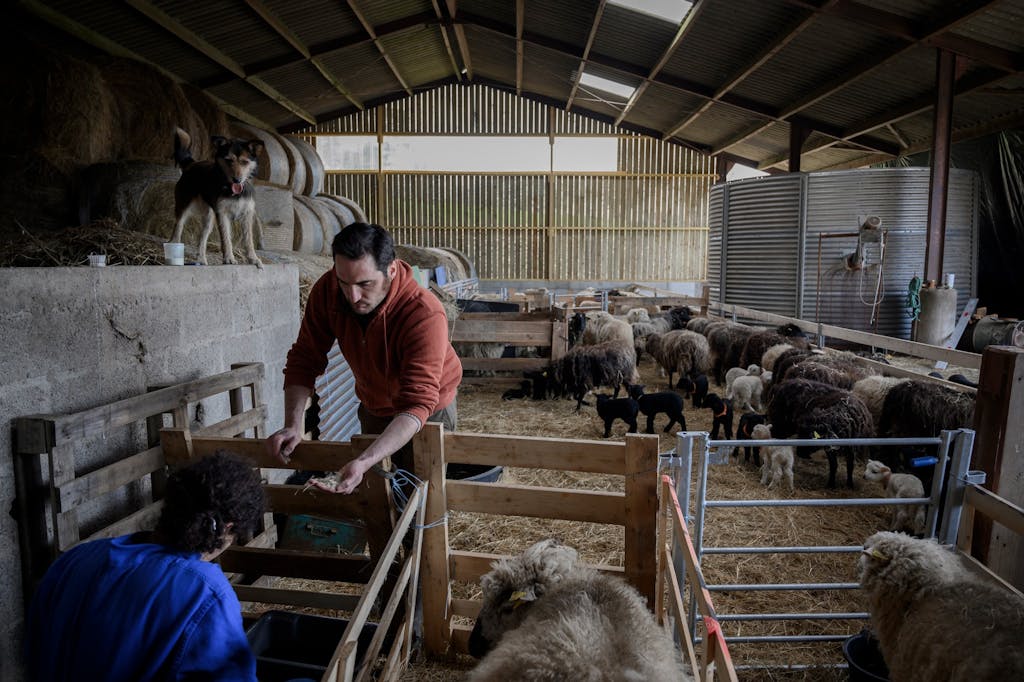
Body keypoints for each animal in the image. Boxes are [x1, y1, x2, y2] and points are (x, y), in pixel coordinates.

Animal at [169, 127, 264, 266]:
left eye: (245, 162)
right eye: (229, 160)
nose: (237, 180)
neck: (233, 191)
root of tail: (192, 164)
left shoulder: (247, 214)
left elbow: (249, 240)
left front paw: (253, 258)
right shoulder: (222, 213)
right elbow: (226, 238)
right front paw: (229, 258)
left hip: (209, 217)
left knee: (202, 238)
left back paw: (202, 259)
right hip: (183, 206)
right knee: (178, 227)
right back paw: (174, 249)